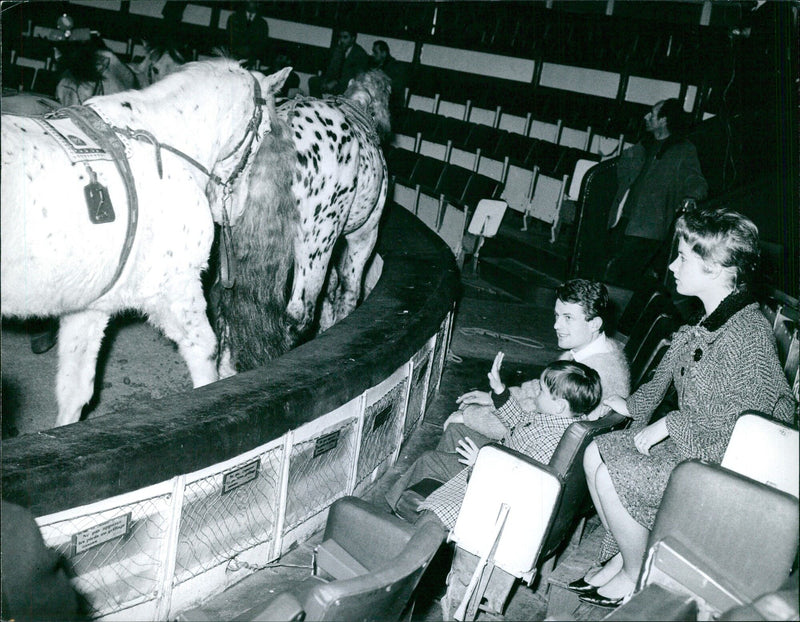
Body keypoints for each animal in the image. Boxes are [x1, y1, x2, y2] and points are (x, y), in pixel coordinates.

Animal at [1, 59, 292, 428]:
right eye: (265, 130)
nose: (236, 210)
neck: (162, 143)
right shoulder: (176, 288)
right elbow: (205, 351)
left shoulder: (90, 306)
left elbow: (74, 390)